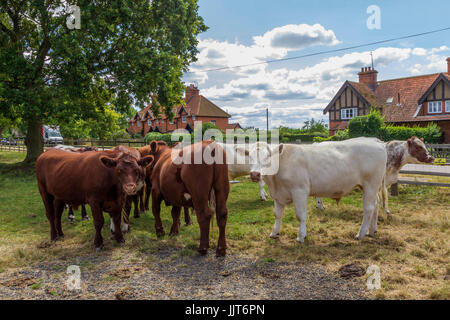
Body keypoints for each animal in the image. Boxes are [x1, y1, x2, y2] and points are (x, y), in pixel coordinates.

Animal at [243, 138, 386, 242]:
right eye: (249, 157)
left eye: (268, 156)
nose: (255, 174)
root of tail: (374, 141)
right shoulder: (279, 195)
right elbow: (277, 215)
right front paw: (274, 232)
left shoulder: (299, 191)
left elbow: (300, 215)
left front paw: (301, 236)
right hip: (371, 187)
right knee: (375, 204)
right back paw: (372, 230)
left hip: (371, 184)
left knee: (368, 208)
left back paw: (361, 233)